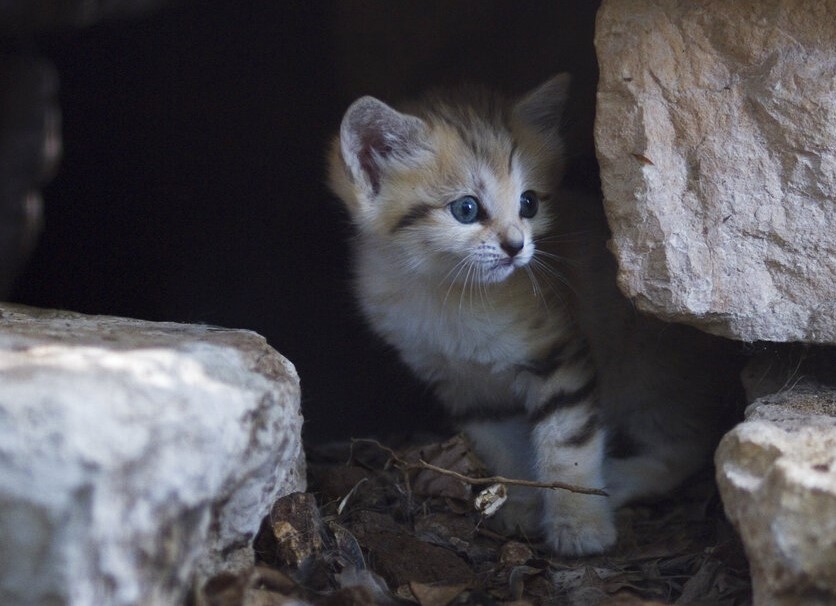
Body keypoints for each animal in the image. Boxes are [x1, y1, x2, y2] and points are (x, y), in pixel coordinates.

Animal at [330, 75, 740, 556]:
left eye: (528, 204)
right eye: (466, 209)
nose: (516, 246)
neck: (445, 291)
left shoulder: (559, 359)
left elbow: (567, 448)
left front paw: (579, 523)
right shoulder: (466, 389)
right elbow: (505, 449)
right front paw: (521, 505)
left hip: (648, 372)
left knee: (690, 445)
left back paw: (617, 480)